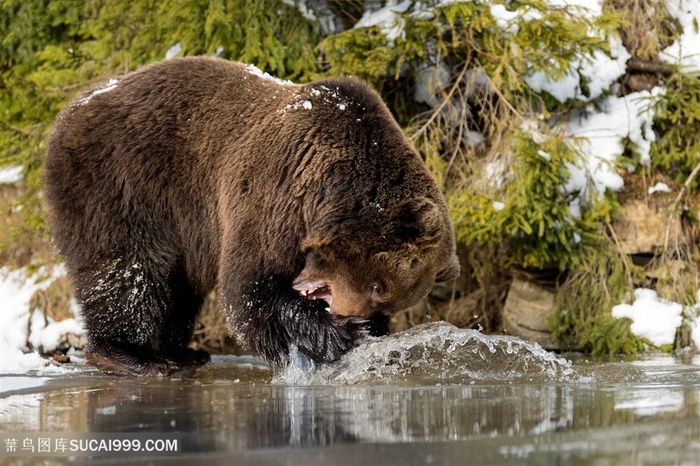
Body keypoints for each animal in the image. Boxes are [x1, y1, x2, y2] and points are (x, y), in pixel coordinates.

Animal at [43, 56, 460, 374]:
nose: (349, 314)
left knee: (177, 284)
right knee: (128, 269)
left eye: (385, 299)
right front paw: (336, 334)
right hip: (124, 183)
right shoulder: (273, 195)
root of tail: (72, 110)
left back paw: (181, 351)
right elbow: (250, 289)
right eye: (377, 286)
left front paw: (366, 329)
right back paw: (131, 355)